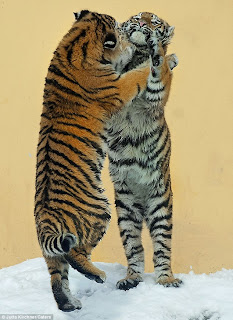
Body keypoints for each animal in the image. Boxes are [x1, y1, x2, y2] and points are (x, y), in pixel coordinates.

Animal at [33, 10, 152, 312]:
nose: (130, 34)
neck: (74, 43)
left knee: (58, 275)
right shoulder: (119, 86)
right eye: (120, 32)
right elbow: (137, 74)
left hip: (52, 253)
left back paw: (70, 304)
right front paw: (155, 59)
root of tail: (45, 221)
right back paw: (98, 275)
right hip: (99, 212)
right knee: (75, 253)